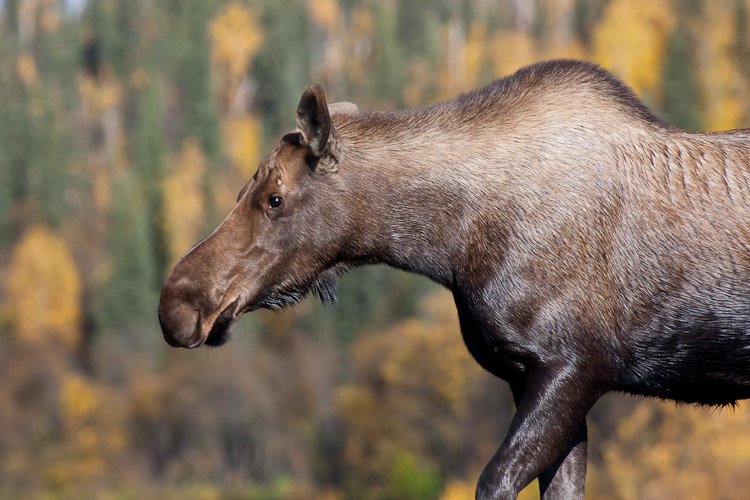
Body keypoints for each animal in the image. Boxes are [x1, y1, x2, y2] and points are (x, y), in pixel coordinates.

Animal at [158, 60, 750, 499]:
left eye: (274, 197)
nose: (178, 304)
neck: (450, 245)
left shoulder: (575, 368)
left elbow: (493, 481)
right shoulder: (533, 377)